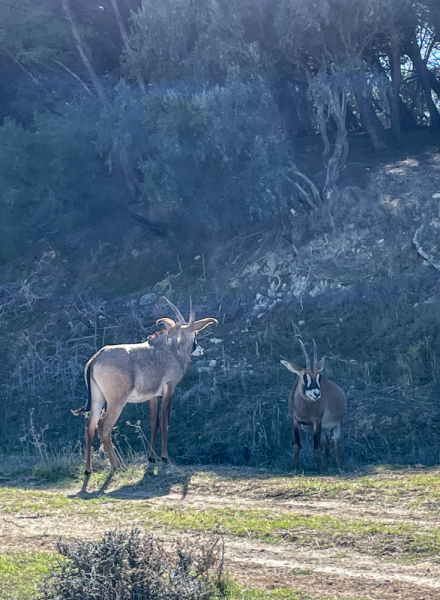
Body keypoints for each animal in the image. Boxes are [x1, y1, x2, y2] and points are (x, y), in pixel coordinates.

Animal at [72, 298, 218, 474]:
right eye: (195, 334)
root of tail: (96, 358)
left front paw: (152, 458)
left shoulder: (153, 396)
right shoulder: (170, 389)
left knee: (90, 427)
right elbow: (165, 423)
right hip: (117, 401)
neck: (172, 350)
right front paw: (165, 458)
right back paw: (117, 465)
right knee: (104, 427)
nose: (200, 349)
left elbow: (154, 423)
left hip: (97, 399)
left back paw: (88, 469)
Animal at [282, 342, 348, 474]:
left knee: (335, 445)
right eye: (304, 376)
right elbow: (296, 446)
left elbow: (316, 448)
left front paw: (318, 471)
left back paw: (340, 469)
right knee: (326, 444)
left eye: (319, 376)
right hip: (322, 430)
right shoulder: (295, 421)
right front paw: (294, 469)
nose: (316, 393)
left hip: (336, 425)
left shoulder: (316, 421)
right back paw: (326, 470)